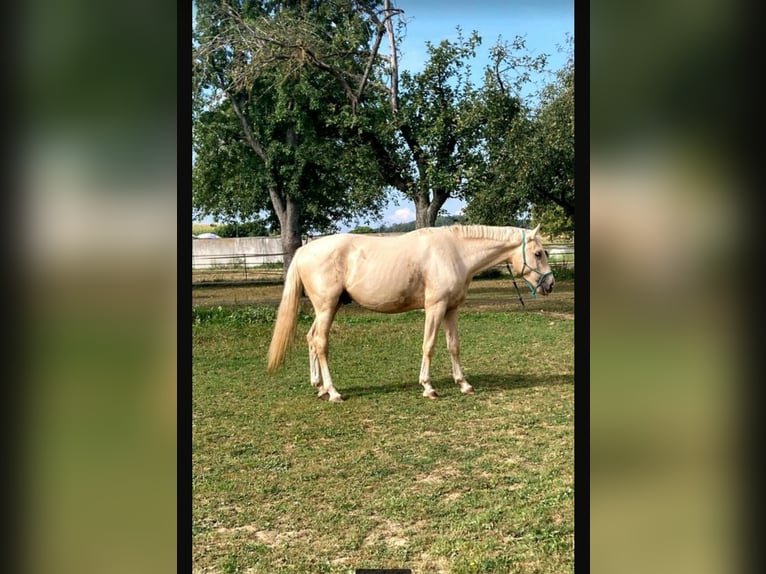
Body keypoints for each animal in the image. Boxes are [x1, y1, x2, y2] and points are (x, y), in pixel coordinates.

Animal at [268, 223, 556, 402]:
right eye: (538, 253)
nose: (550, 284)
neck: (455, 252)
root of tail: (303, 250)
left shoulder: (451, 309)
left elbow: (453, 346)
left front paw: (464, 383)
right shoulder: (435, 308)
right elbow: (429, 345)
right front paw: (428, 387)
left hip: (327, 308)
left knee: (310, 339)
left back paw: (319, 388)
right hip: (326, 307)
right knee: (320, 343)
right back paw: (333, 392)